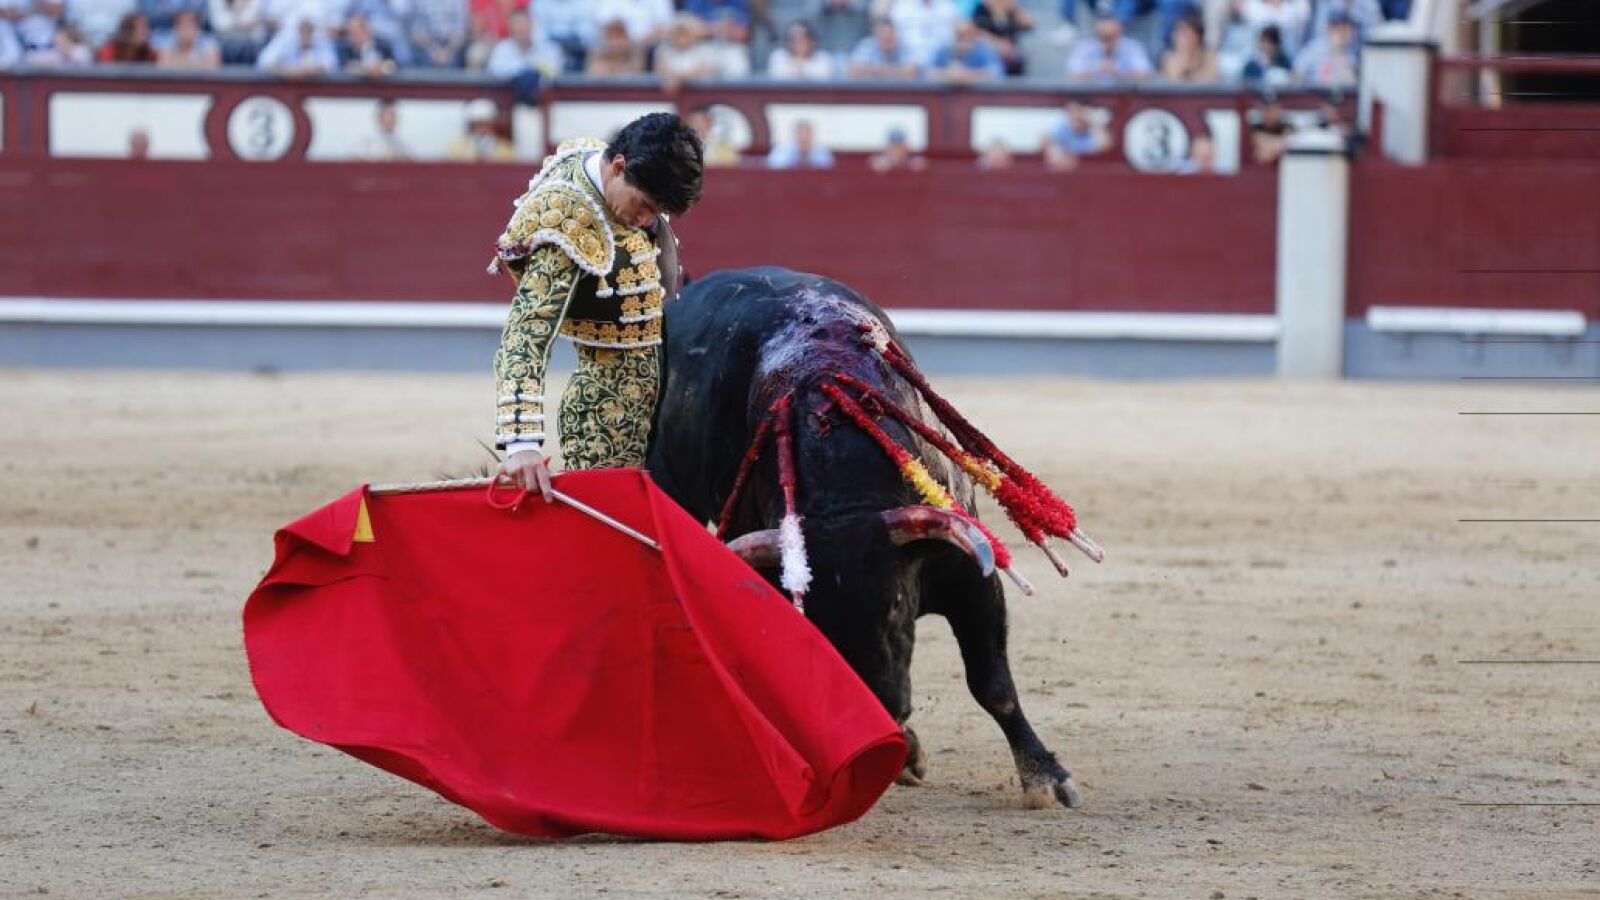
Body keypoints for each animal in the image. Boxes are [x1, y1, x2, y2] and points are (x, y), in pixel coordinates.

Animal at [646, 267, 1083, 808]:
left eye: (894, 605)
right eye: (816, 622)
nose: (887, 707)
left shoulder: (970, 575)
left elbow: (993, 684)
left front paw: (1046, 778)